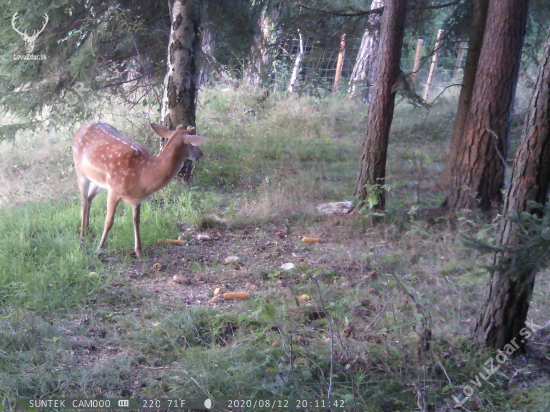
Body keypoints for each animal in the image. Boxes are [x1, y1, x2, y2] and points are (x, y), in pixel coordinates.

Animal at [74, 120, 208, 260]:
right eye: (193, 143)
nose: (201, 154)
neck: (141, 175)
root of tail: (81, 127)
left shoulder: (137, 198)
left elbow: (136, 221)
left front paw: (139, 250)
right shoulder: (114, 191)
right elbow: (109, 221)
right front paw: (100, 248)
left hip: (98, 182)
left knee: (89, 198)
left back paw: (87, 230)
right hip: (80, 171)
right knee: (83, 201)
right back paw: (83, 235)